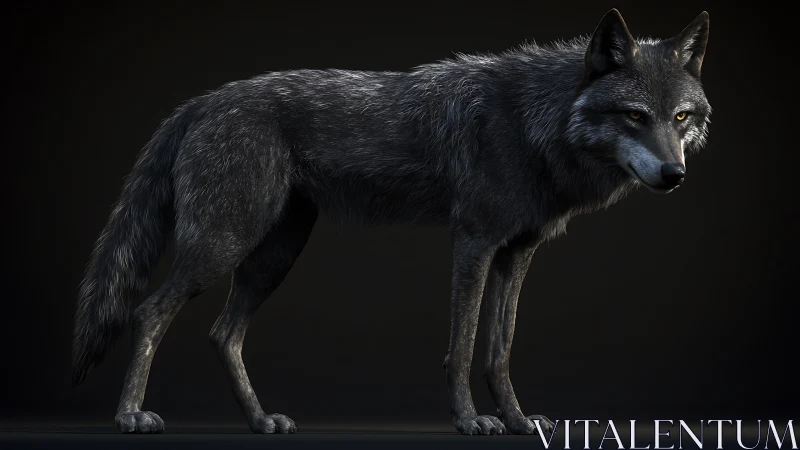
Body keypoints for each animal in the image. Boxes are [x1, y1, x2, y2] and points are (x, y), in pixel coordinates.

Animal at [72, 9, 711, 435]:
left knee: (222, 333)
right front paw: (471, 422)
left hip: (274, 256)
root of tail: (198, 103)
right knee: (149, 312)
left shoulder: (517, 253)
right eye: (635, 116)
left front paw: (517, 420)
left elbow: (500, 348)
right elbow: (462, 344)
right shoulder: (474, 241)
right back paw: (130, 416)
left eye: (680, 117)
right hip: (223, 246)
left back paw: (260, 421)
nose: (675, 174)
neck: (536, 123)